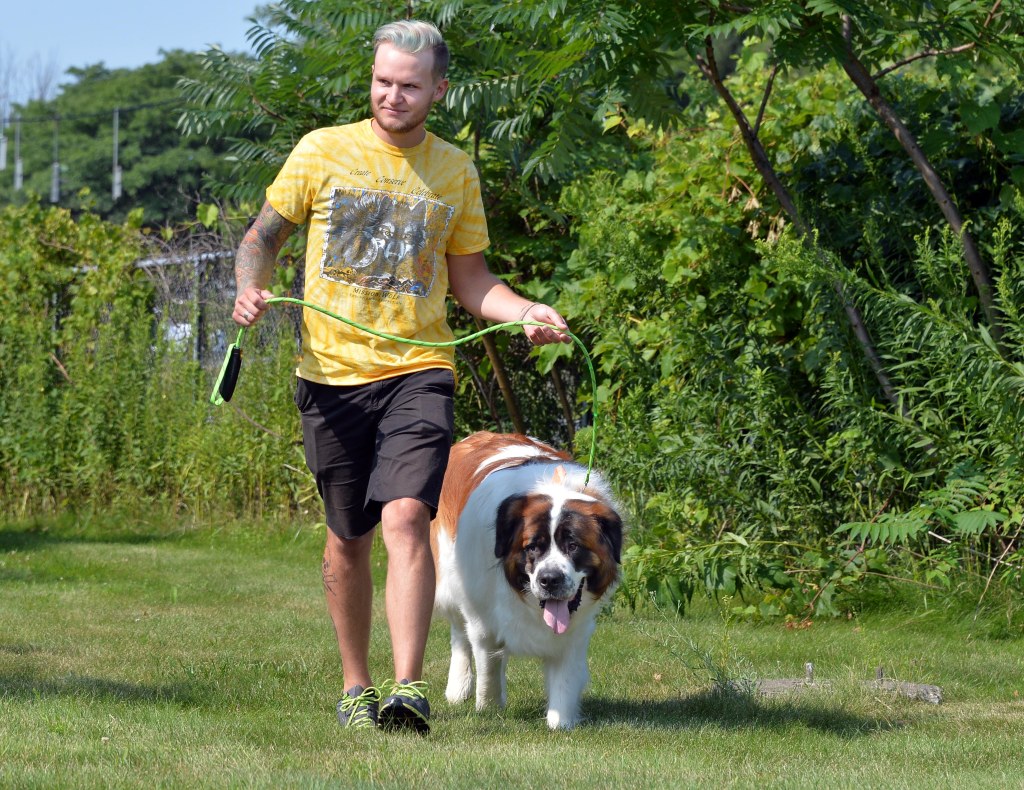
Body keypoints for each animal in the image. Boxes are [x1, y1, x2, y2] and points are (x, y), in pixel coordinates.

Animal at [430, 432, 622, 729]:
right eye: (532, 547)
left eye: (573, 546)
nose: (550, 579)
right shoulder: (482, 618)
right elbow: (488, 662)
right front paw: (488, 708)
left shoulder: (576, 630)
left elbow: (565, 677)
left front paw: (561, 722)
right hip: (450, 582)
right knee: (459, 634)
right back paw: (458, 687)